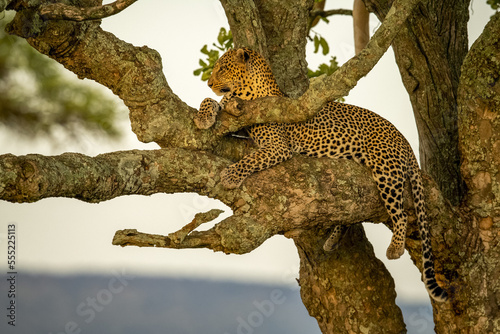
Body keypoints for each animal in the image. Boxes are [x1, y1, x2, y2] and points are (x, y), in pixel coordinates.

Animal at [193, 47, 448, 302]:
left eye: (222, 68)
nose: (209, 83)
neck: (248, 94)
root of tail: (403, 138)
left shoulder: (278, 146)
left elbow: (252, 159)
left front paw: (230, 176)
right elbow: (213, 101)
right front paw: (203, 117)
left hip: (386, 170)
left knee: (400, 213)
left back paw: (395, 248)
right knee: (349, 214)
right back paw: (333, 240)